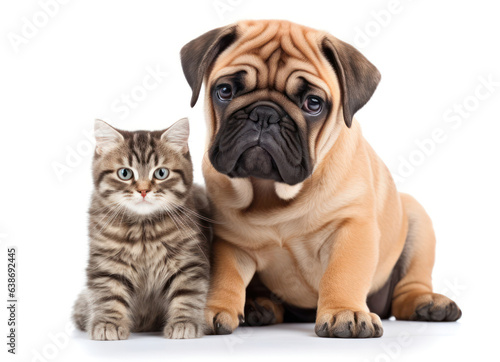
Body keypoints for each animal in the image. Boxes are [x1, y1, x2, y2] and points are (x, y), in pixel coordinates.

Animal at [73, 118, 210, 340]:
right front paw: (108, 324)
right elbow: (108, 294)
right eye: (125, 173)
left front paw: (183, 323)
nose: (144, 190)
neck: (143, 229)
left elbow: (188, 294)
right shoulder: (107, 262)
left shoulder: (188, 261)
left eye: (161, 173)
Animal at [180, 19, 460, 336]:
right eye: (225, 91)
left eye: (313, 104)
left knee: (408, 288)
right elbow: (225, 276)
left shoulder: (351, 227)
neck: (272, 194)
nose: (264, 114)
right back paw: (259, 307)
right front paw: (212, 309)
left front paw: (344, 311)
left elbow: (343, 273)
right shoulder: (231, 241)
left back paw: (427, 303)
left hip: (416, 219)